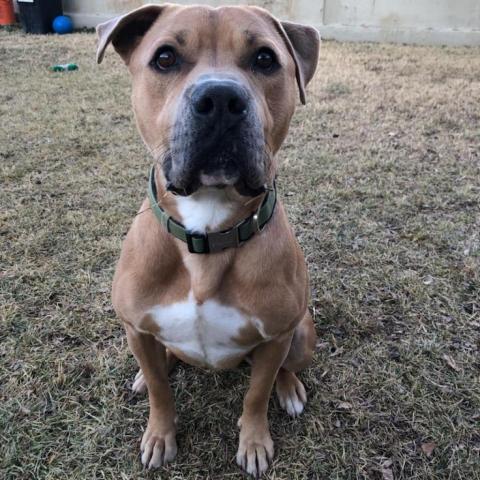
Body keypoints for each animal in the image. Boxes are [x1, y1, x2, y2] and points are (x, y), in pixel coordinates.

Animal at [96, 2, 318, 476]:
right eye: (164, 58)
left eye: (265, 59)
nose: (219, 99)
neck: (207, 231)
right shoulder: (135, 328)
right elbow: (161, 392)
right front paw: (160, 435)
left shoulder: (275, 337)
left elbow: (256, 395)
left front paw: (254, 441)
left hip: (301, 334)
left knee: (285, 367)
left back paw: (289, 388)